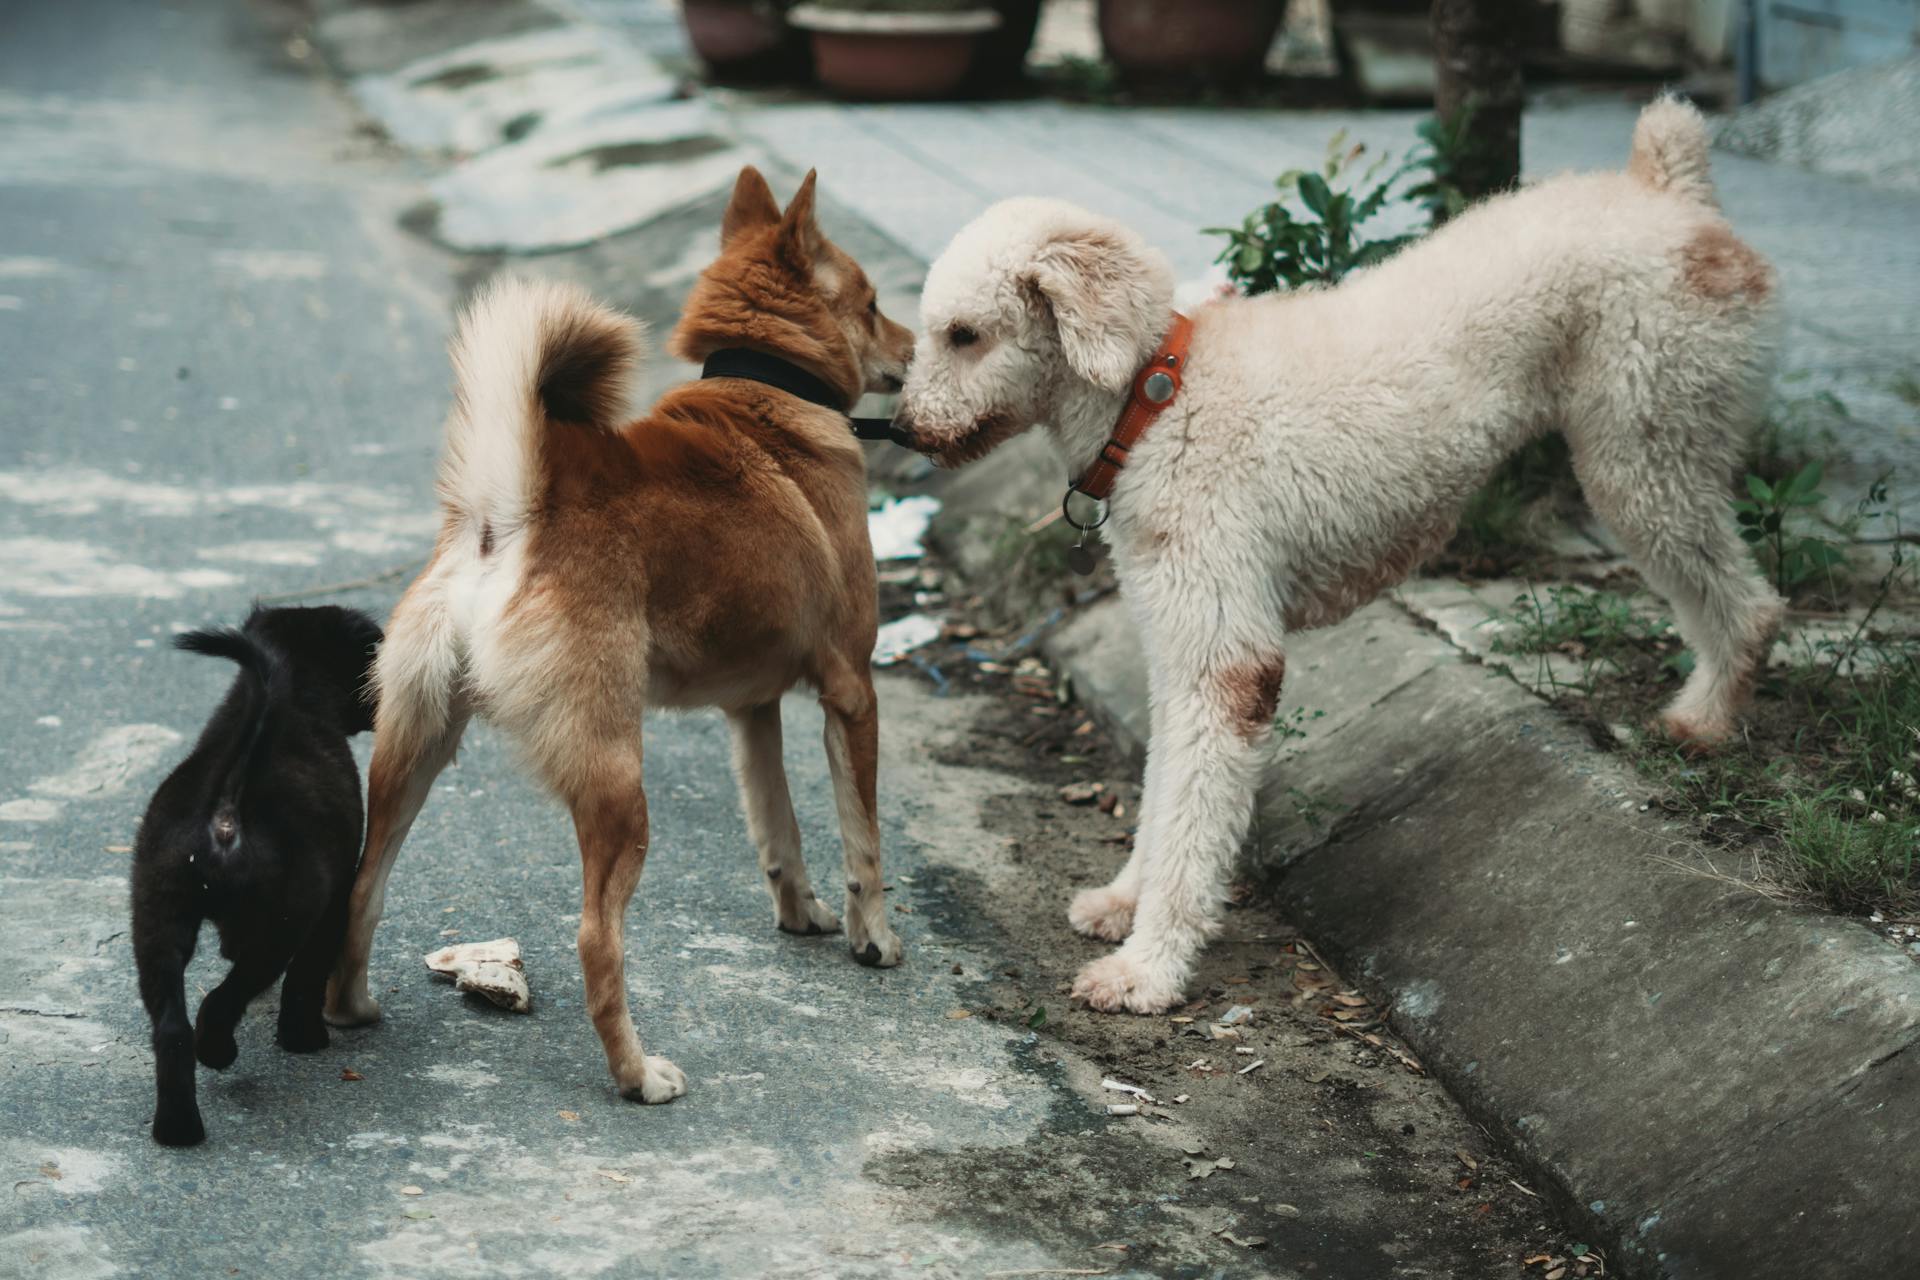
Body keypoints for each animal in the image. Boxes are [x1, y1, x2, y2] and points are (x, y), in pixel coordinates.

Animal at [132, 606, 382, 1143]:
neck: (303, 694)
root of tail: (228, 802)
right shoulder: (332, 903)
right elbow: (306, 978)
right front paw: (304, 1039)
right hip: (282, 923)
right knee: (224, 998)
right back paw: (217, 1052)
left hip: (156, 918)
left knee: (171, 1028)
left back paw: (178, 1128)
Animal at [326, 169, 917, 1105]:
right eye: (872, 304)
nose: (919, 346)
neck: (769, 392)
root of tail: (512, 515)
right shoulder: (852, 692)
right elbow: (863, 839)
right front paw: (874, 938)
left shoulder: (751, 712)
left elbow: (778, 829)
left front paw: (800, 914)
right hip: (616, 786)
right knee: (596, 938)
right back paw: (639, 1074)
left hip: (410, 752)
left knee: (361, 886)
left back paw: (349, 1008)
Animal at [894, 100, 1781, 1013]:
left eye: (963, 335)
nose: (902, 430)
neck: (1156, 393)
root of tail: (1667, 189)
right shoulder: (1179, 644)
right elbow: (1166, 784)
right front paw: (1123, 902)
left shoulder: (1226, 659)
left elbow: (1194, 808)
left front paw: (1150, 968)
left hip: (1646, 447)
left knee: (1747, 602)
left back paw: (1706, 718)